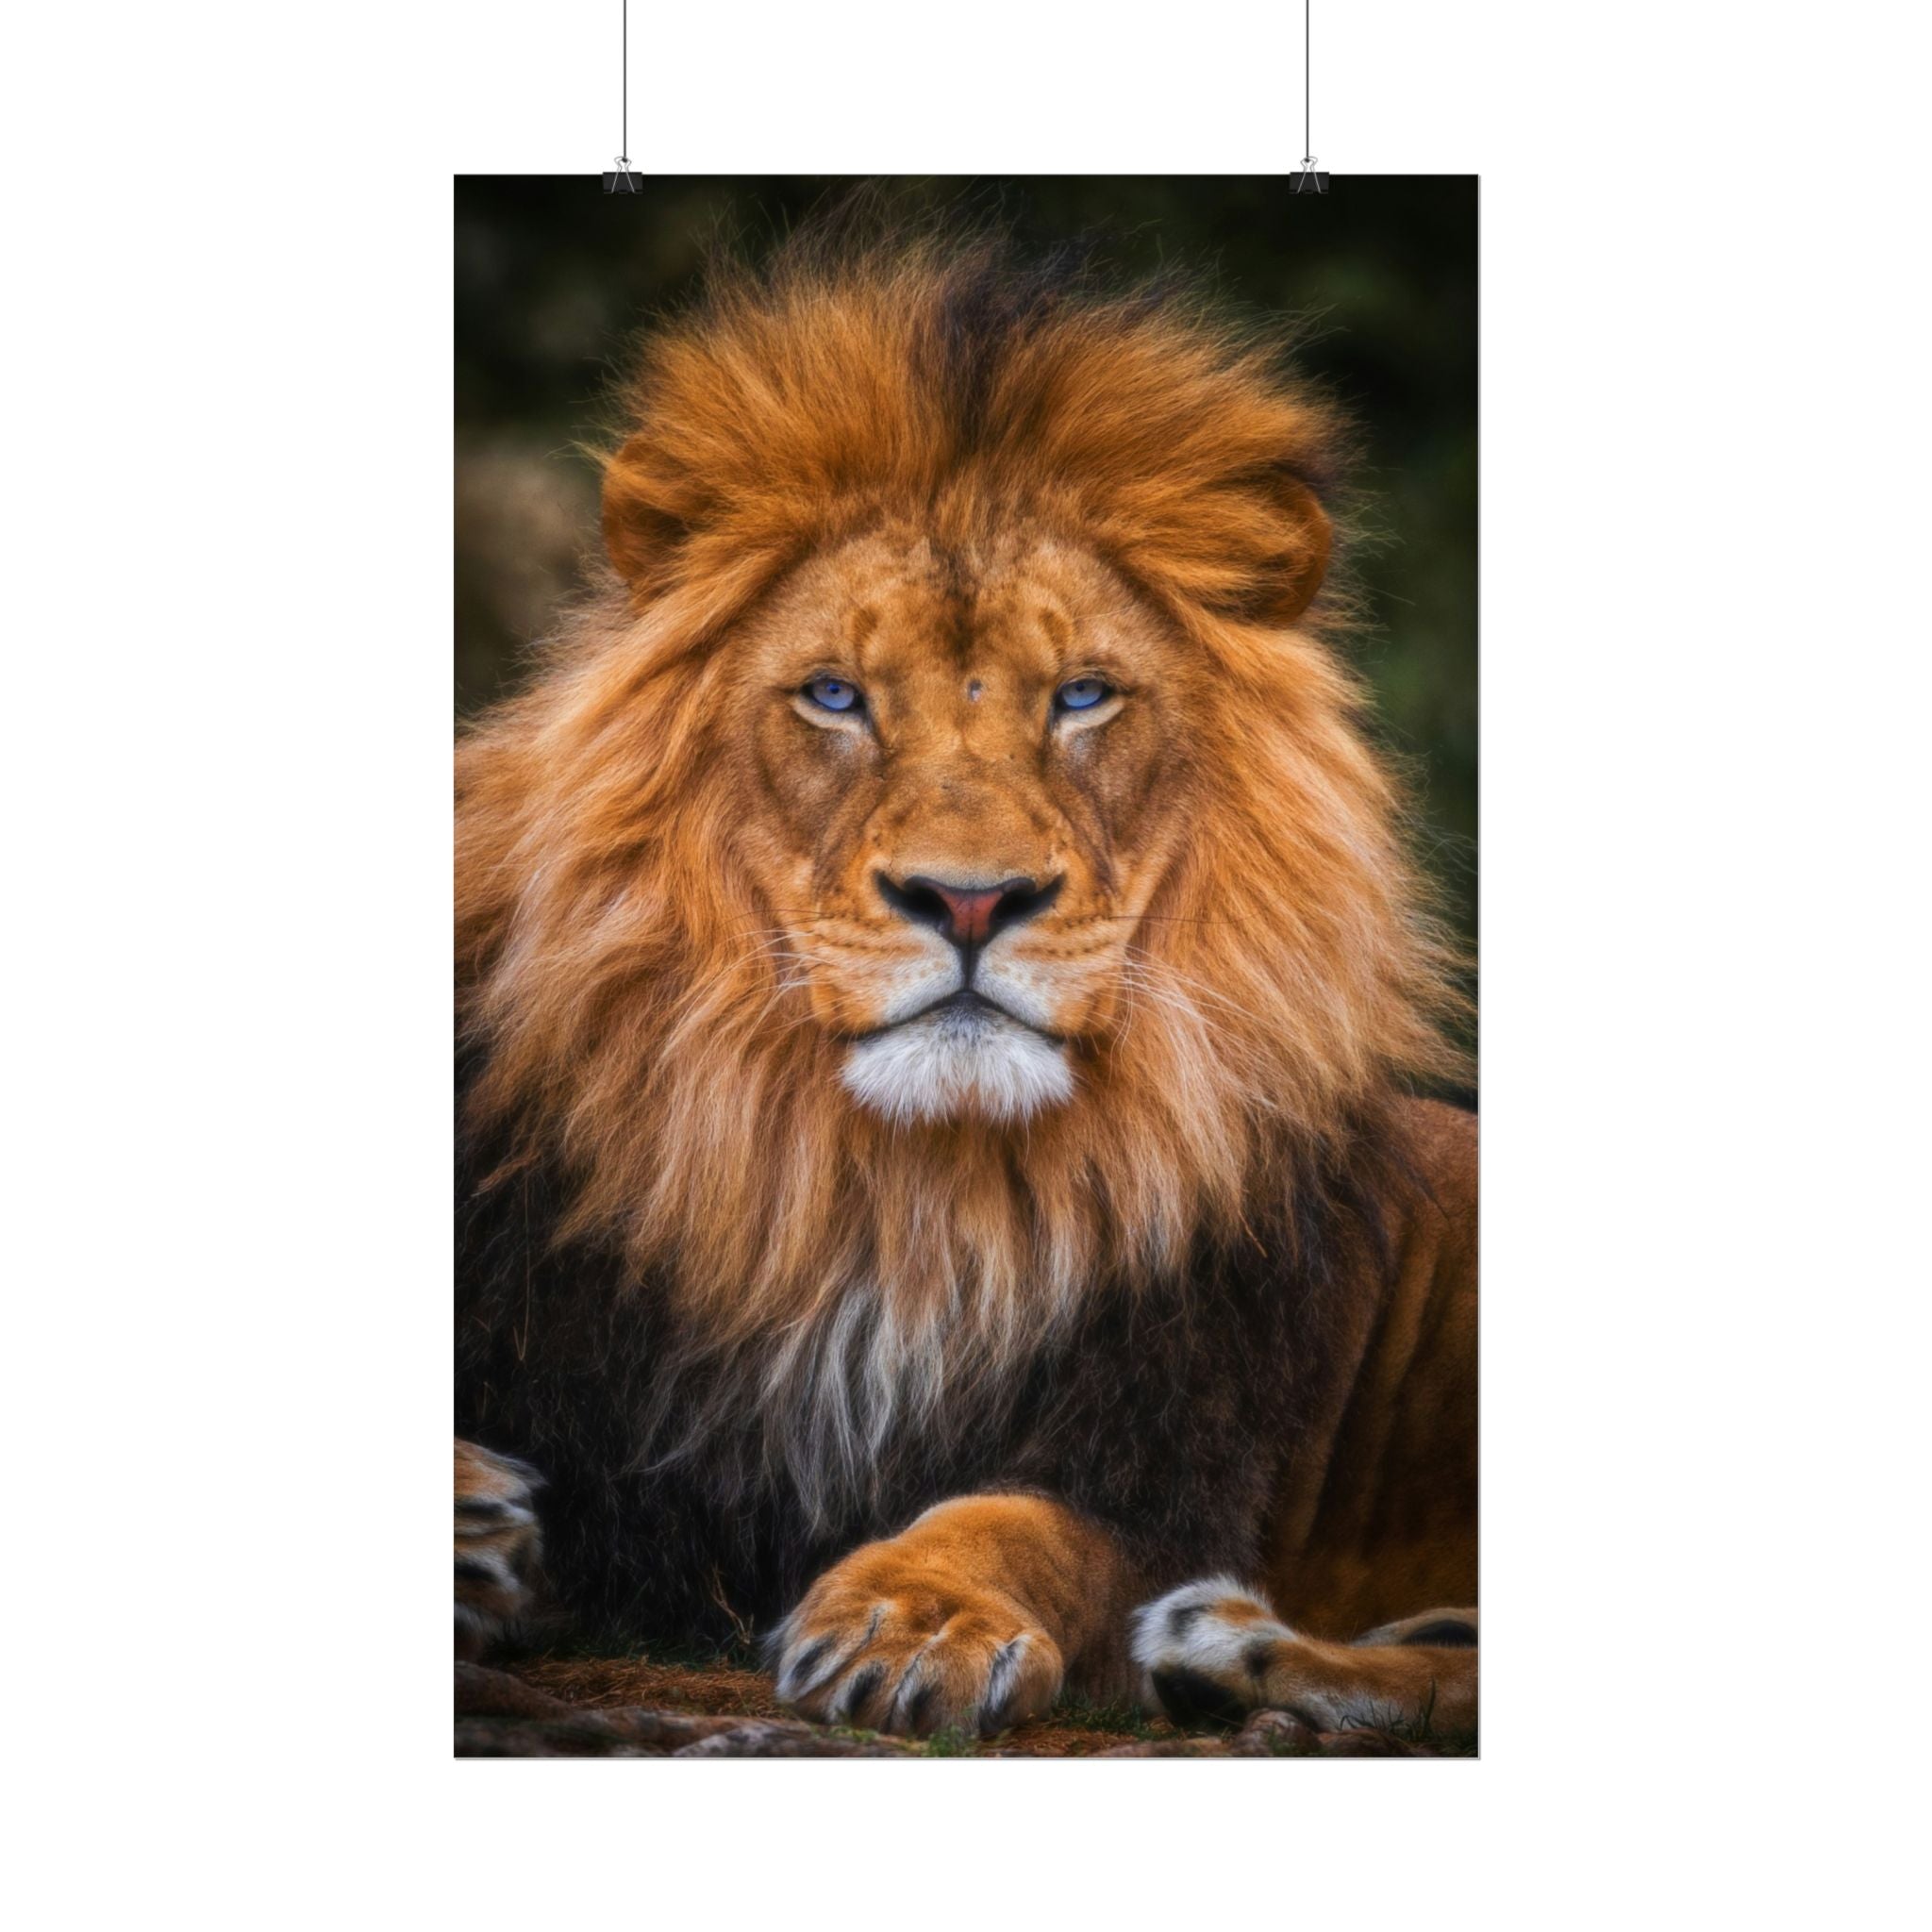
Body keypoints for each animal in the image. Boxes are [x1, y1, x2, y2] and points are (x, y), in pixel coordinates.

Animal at [454, 226, 1477, 1743]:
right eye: (833, 695)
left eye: (1083, 696)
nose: (972, 900)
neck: (896, 1198)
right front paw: (473, 1520)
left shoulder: (1165, 1460)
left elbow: (1020, 1523)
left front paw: (912, 1616)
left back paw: (1235, 1647)